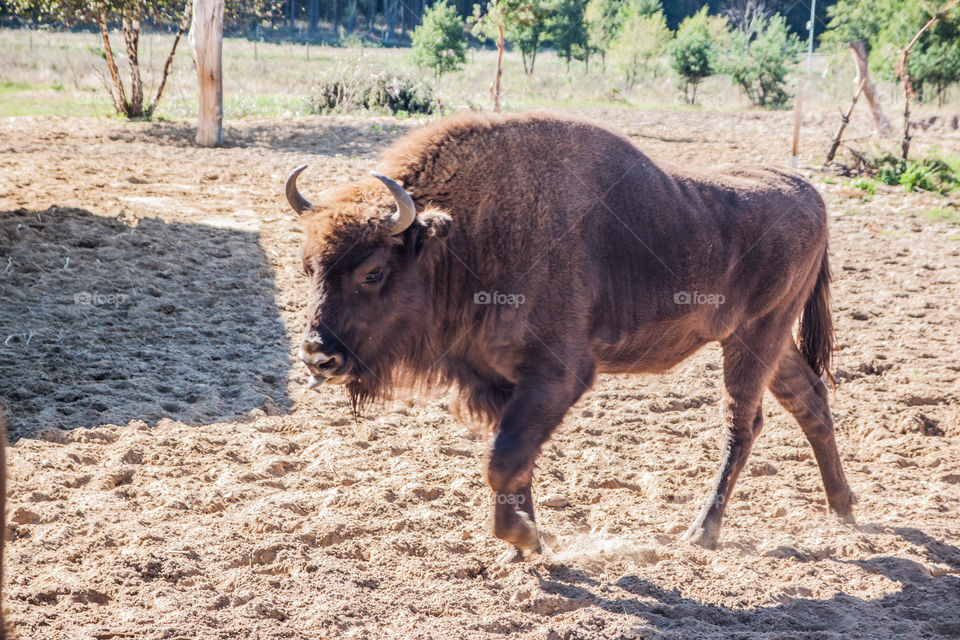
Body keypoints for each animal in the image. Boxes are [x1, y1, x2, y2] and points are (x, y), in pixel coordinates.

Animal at [284, 111, 856, 560]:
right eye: (308, 266)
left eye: (373, 272)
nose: (317, 356)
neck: (463, 237)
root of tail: (809, 192)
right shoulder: (498, 382)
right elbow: (514, 462)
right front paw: (526, 544)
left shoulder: (558, 376)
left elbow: (503, 461)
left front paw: (522, 538)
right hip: (769, 341)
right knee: (809, 400)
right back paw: (844, 510)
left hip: (755, 337)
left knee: (743, 422)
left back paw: (702, 533)